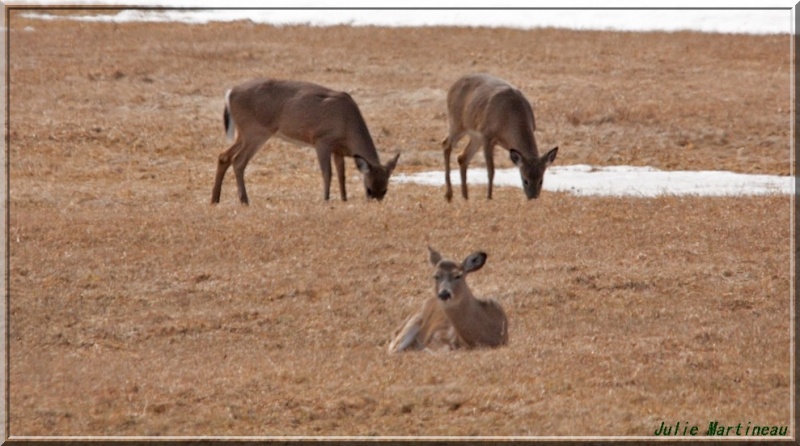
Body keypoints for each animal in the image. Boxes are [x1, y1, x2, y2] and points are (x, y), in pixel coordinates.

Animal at [211, 79, 400, 206]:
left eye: (385, 190)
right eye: (369, 189)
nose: (374, 204)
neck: (347, 126)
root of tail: (230, 93)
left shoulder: (338, 150)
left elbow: (342, 175)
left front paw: (344, 199)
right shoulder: (322, 141)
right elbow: (327, 173)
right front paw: (326, 199)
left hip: (243, 133)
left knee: (223, 156)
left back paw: (215, 199)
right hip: (255, 131)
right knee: (238, 160)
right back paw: (244, 200)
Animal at [440, 72, 560, 201]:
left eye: (541, 181)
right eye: (525, 180)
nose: (533, 197)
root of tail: (454, 85)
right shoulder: (487, 136)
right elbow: (491, 170)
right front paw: (489, 198)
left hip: (475, 136)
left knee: (462, 157)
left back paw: (465, 197)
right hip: (457, 123)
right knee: (446, 144)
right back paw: (449, 194)